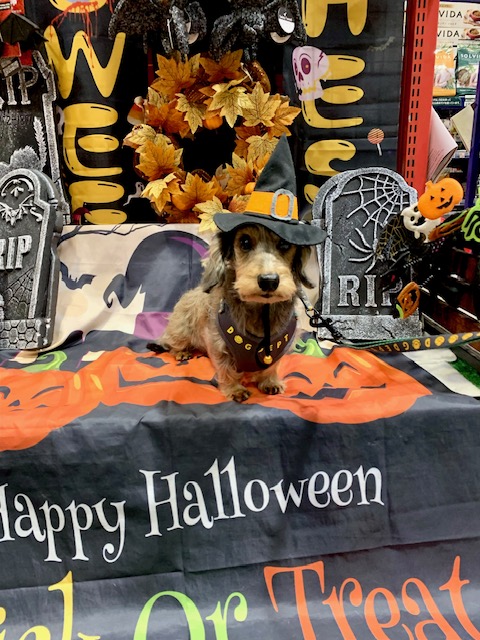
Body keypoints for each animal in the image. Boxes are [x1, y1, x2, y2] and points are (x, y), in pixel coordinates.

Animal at [151, 224, 316, 400]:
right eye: (245, 242)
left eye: (285, 244)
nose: (269, 281)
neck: (261, 311)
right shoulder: (217, 344)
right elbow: (226, 369)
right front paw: (235, 389)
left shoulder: (278, 349)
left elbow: (271, 366)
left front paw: (270, 381)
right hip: (180, 330)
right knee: (172, 343)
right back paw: (181, 352)